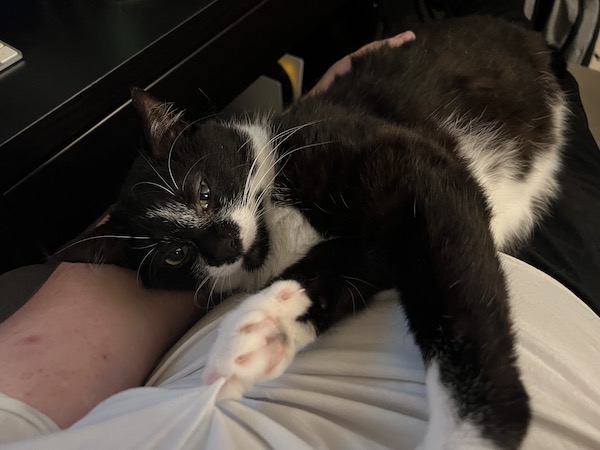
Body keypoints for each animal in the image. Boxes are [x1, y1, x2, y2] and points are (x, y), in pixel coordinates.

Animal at [59, 15, 568, 450]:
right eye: (175, 255)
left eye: (203, 192)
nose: (223, 246)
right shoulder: (363, 244)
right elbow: (349, 264)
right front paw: (264, 329)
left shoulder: (414, 164)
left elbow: (454, 292)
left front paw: (473, 432)